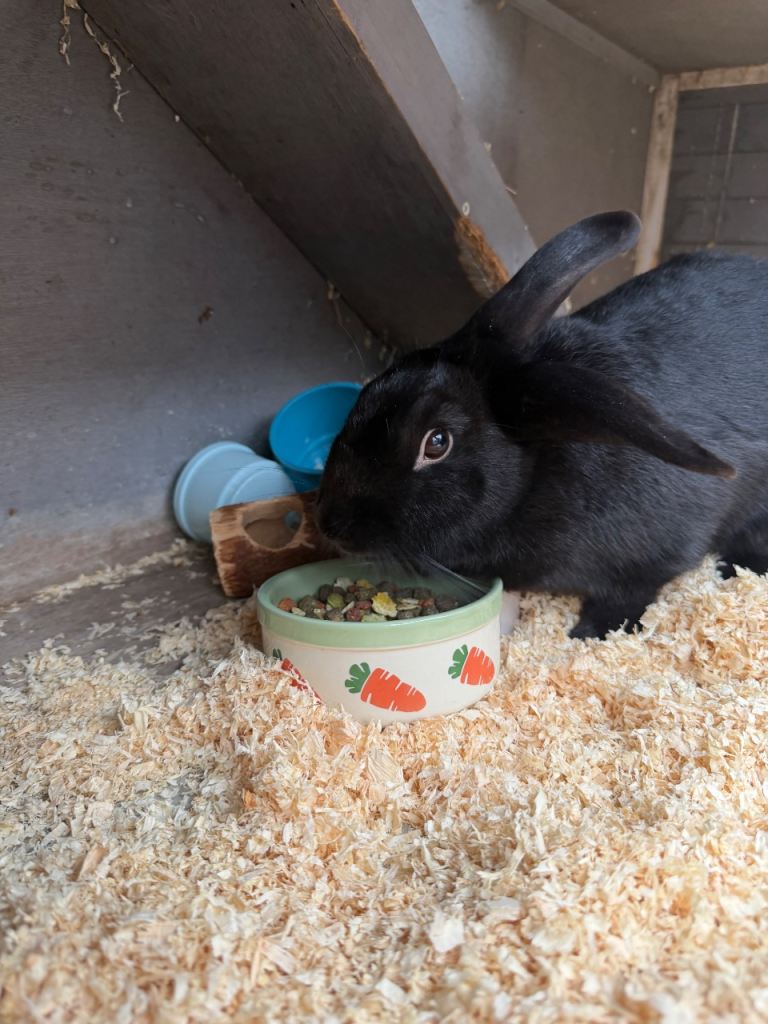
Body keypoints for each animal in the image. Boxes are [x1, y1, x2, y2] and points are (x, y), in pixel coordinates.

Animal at [316, 211, 768, 639]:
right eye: (370, 388)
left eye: (437, 442)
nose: (330, 524)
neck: (533, 480)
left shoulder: (656, 556)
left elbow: (631, 593)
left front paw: (592, 632)